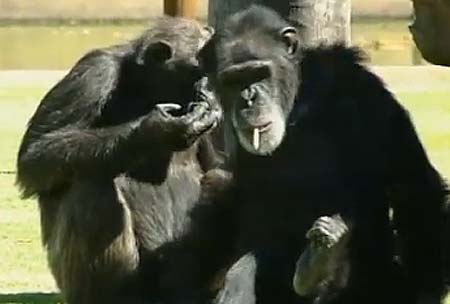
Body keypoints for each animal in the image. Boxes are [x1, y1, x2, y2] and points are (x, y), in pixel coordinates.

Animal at [15, 16, 223, 304]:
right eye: (201, 65)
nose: (210, 84)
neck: (146, 88)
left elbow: (220, 165)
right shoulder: (92, 74)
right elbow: (37, 153)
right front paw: (158, 129)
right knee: (92, 184)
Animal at [149, 5, 450, 304]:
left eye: (259, 73)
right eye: (233, 81)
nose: (248, 98)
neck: (297, 99)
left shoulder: (363, 89)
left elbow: (410, 183)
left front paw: (421, 291)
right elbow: (227, 190)